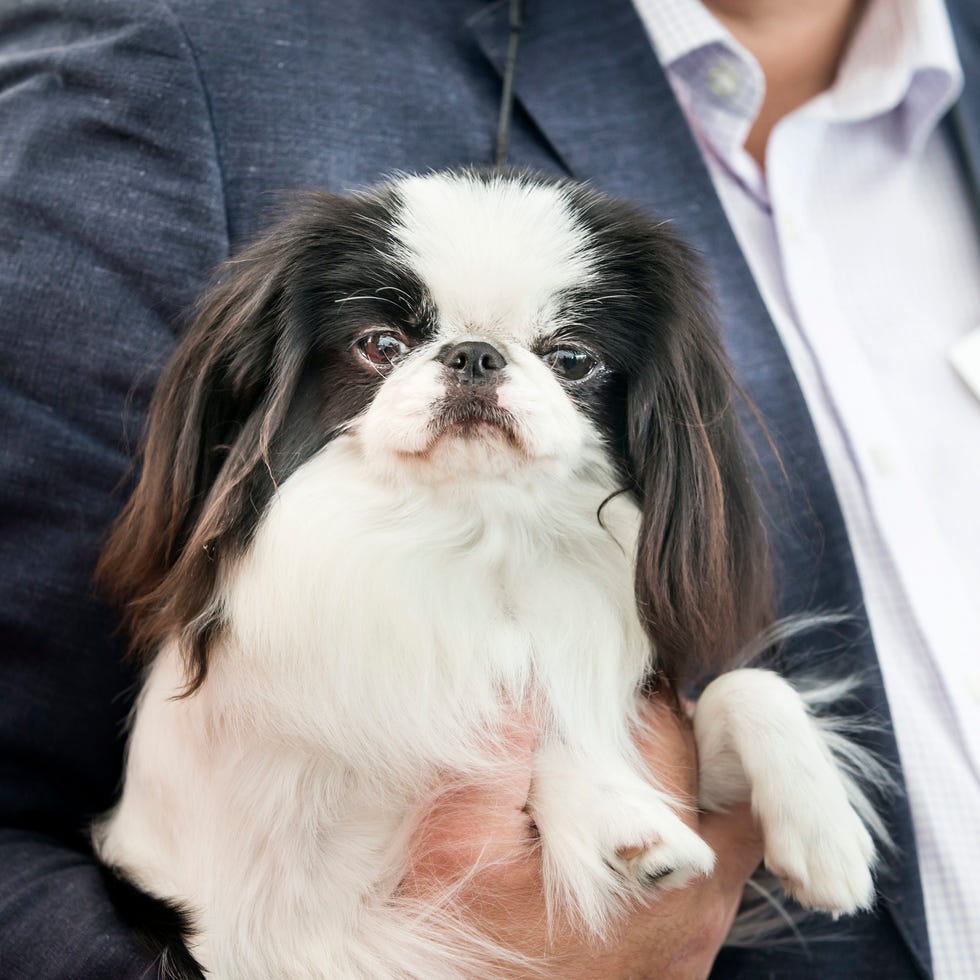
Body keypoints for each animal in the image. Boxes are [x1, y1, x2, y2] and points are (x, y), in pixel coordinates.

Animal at [95, 172, 884, 976]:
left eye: (573, 359)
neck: (474, 539)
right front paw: (619, 821)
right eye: (381, 344)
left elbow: (742, 687)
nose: (474, 354)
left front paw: (824, 831)